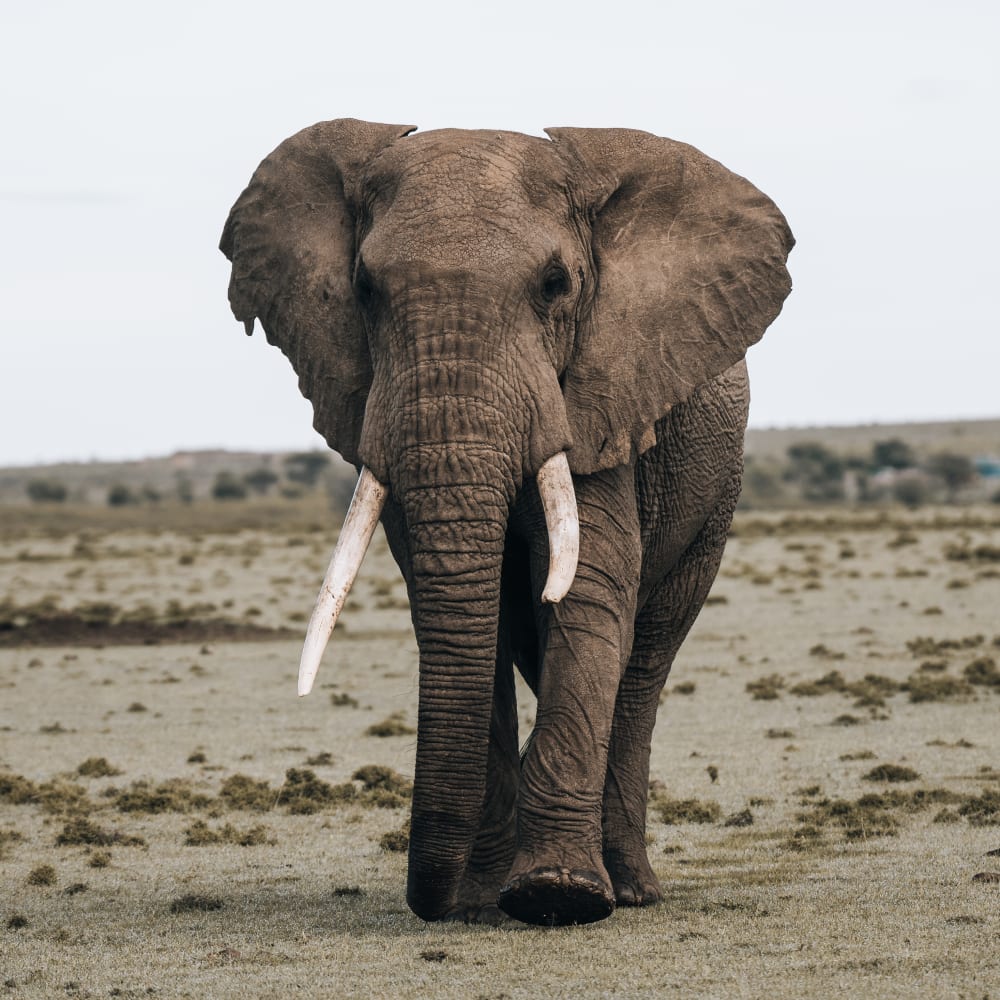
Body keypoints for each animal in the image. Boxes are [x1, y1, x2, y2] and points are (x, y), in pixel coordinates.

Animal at [220, 119, 793, 926]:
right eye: (362, 288)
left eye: (556, 285)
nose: (430, 903)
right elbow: (465, 609)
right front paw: (481, 899)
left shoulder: (602, 398)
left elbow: (588, 588)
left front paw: (557, 896)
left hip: (714, 501)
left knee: (644, 663)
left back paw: (630, 888)